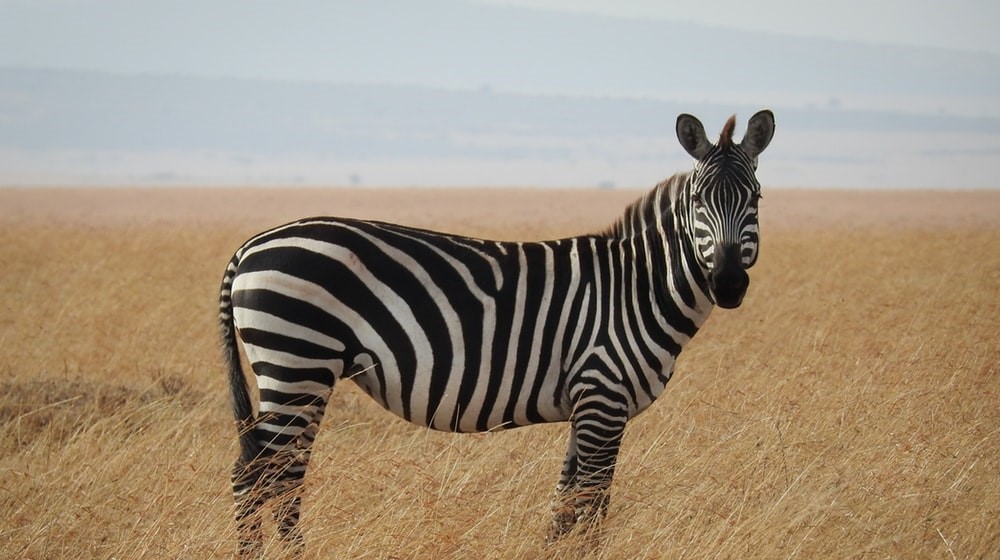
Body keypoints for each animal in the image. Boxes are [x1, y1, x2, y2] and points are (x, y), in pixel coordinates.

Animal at [219, 110, 775, 556]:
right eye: (699, 201)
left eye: (756, 198)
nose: (728, 284)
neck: (636, 288)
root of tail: (250, 245)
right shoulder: (603, 395)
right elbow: (593, 504)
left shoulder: (586, 404)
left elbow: (564, 503)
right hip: (298, 362)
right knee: (258, 477)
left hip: (302, 373)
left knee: (280, 477)